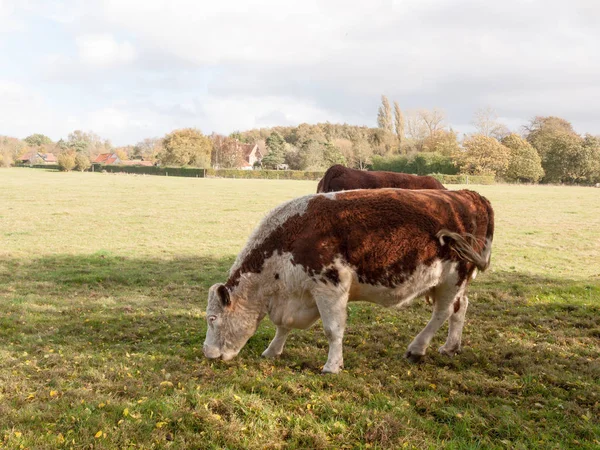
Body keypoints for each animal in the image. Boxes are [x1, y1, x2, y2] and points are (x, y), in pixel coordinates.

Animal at [204, 188, 494, 374]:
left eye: (212, 318)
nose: (207, 353)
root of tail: (470, 195)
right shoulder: (295, 294)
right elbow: (283, 326)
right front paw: (272, 350)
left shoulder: (330, 286)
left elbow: (333, 330)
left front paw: (332, 366)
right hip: (450, 282)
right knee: (460, 308)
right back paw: (450, 347)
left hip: (453, 277)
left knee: (442, 313)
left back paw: (417, 349)